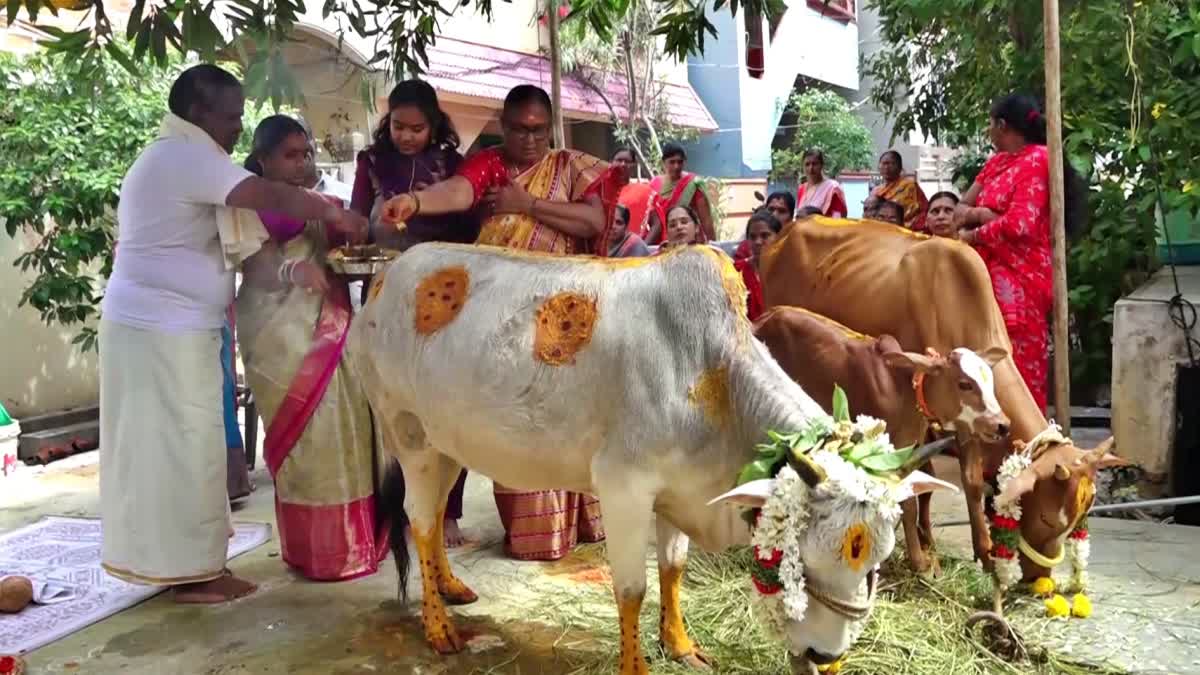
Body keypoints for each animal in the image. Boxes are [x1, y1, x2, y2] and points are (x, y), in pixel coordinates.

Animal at [349, 242, 957, 675]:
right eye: (799, 562)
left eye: (875, 564)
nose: (823, 657)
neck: (714, 377)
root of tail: (384, 277)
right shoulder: (623, 488)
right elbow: (632, 591)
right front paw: (639, 663)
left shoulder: (679, 493)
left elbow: (672, 569)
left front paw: (681, 644)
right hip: (410, 439)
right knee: (419, 520)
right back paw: (438, 628)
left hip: (447, 445)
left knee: (432, 522)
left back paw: (452, 587)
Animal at [753, 305, 1011, 575]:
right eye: (964, 384)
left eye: (990, 382)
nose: (1002, 424)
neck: (905, 390)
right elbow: (907, 504)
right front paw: (919, 562)